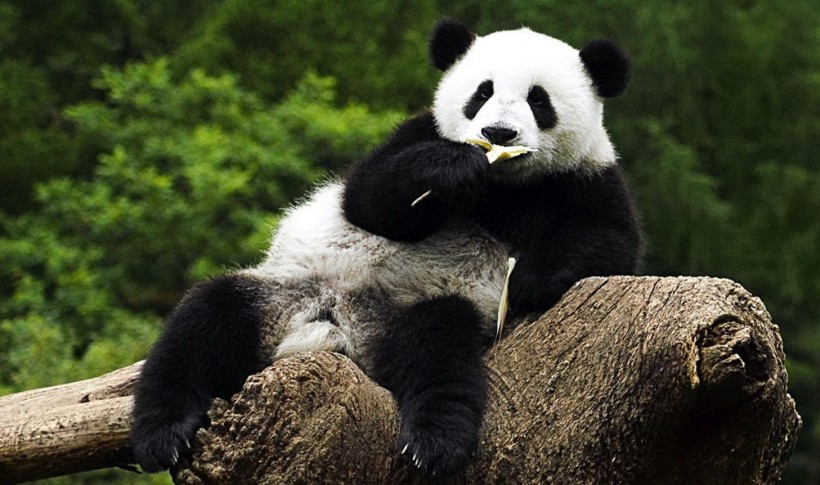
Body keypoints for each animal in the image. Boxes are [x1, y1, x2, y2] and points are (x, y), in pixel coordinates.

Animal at [131, 19, 643, 478]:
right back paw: (164, 433)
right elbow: (368, 199)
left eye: (539, 100)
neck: (502, 186)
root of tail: (336, 326)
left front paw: (528, 281)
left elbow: (609, 246)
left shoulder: (586, 179)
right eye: (482, 93)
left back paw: (433, 443)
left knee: (438, 350)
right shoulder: (415, 134)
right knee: (204, 321)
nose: (498, 133)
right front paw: (451, 169)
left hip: (413, 312)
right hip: (282, 292)